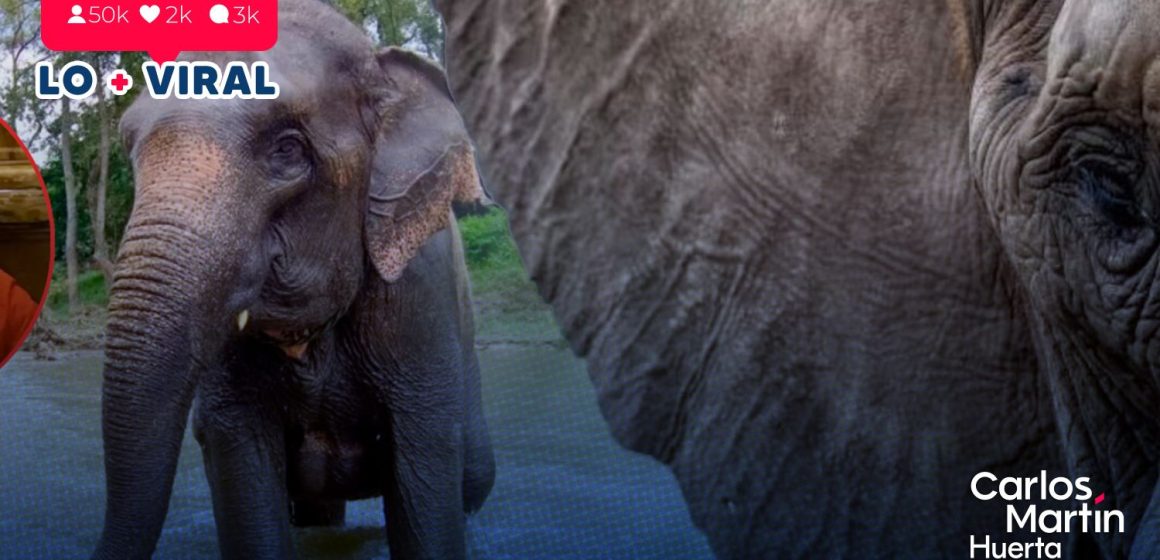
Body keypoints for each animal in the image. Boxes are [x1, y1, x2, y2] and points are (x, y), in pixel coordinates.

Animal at [91, 1, 494, 558]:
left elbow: (426, 475)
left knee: (473, 483)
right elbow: (241, 465)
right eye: (130, 146)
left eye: (287, 149)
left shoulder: (418, 302)